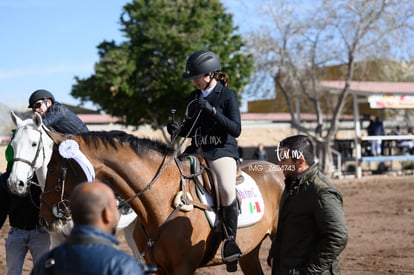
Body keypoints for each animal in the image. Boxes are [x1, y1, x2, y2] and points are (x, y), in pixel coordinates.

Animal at [39, 130, 284, 274]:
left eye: (53, 167)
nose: (44, 216)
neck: (160, 201)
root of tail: (277, 170)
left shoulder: (183, 268)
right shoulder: (155, 267)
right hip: (250, 252)